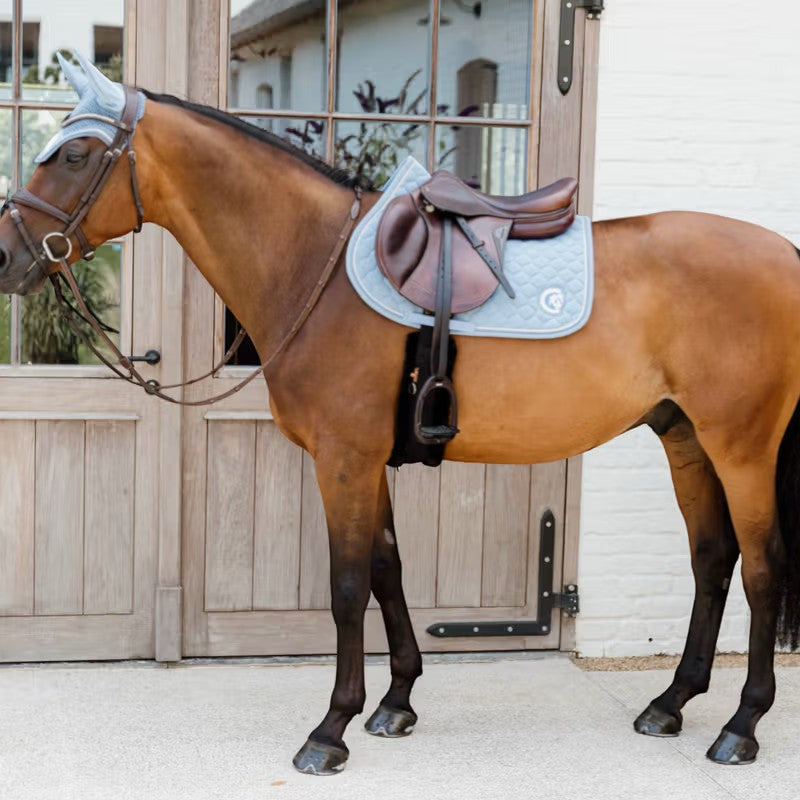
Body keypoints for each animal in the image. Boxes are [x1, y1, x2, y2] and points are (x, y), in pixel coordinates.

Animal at [2, 54, 800, 776]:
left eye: (73, 154)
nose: (7, 257)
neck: (314, 266)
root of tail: (786, 256)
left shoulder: (343, 458)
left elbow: (348, 586)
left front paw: (330, 729)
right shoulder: (366, 460)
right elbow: (388, 568)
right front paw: (395, 702)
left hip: (741, 447)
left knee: (763, 567)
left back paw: (741, 725)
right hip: (684, 436)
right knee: (712, 559)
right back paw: (671, 702)